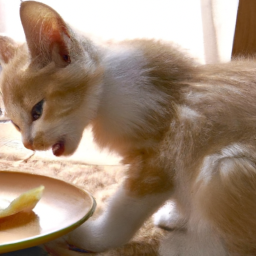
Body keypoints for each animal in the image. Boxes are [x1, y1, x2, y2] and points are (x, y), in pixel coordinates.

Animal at [0, 1, 256, 255]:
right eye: (15, 123)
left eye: (37, 111)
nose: (28, 143)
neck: (110, 87)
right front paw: (177, 215)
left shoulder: (161, 151)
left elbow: (123, 211)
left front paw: (86, 235)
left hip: (224, 168)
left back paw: (181, 246)